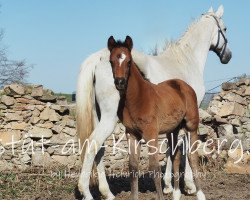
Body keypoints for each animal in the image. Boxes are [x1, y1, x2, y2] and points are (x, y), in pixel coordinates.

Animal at [107, 36, 205, 200]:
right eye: (111, 61)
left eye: (129, 61)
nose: (120, 83)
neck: (136, 99)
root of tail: (184, 85)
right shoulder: (131, 134)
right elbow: (133, 166)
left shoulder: (151, 133)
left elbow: (154, 167)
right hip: (173, 130)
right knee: (176, 155)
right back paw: (176, 193)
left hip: (191, 126)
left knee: (192, 157)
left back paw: (200, 193)